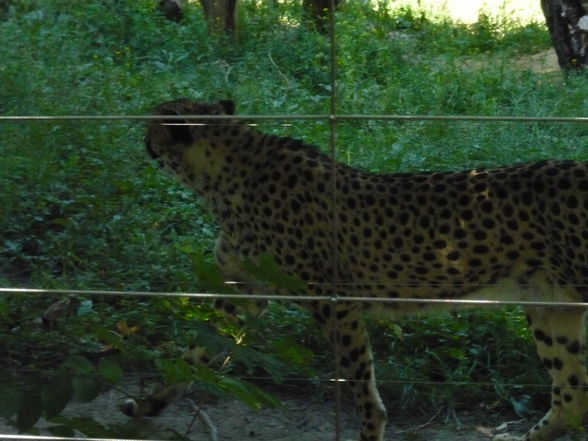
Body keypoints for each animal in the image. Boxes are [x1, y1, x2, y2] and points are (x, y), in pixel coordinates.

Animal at [142, 98, 588, 438]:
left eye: (153, 123)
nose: (142, 140)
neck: (226, 176)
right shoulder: (245, 292)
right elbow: (196, 350)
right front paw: (151, 402)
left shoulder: (334, 301)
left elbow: (358, 379)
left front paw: (372, 427)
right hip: (551, 305)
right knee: (571, 395)